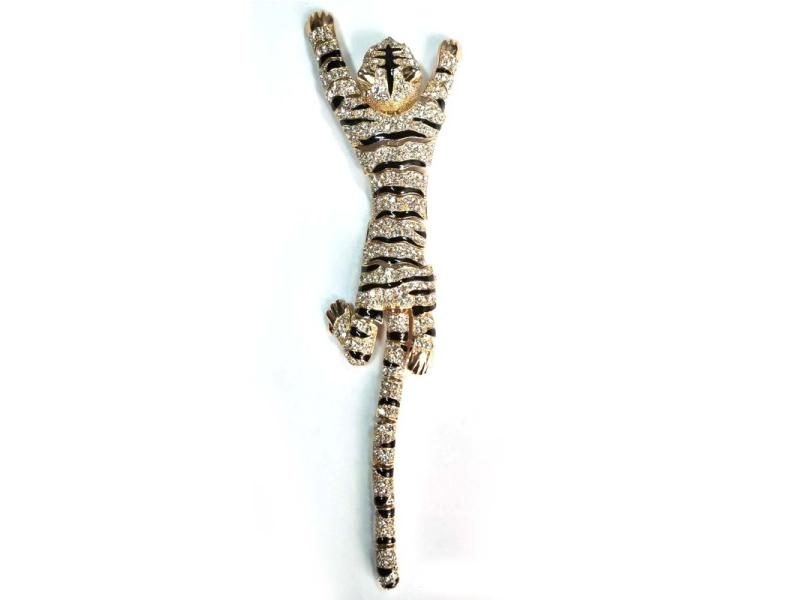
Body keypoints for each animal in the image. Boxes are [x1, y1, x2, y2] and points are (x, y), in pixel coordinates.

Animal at [306, 10, 460, 590]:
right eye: (381, 55)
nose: (391, 40)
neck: (393, 107)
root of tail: (395, 300)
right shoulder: (374, 113)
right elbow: (337, 75)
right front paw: (322, 23)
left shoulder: (420, 115)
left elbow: (437, 84)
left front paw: (450, 48)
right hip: (383, 288)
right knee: (363, 346)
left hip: (415, 285)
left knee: (380, 344)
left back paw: (405, 347)